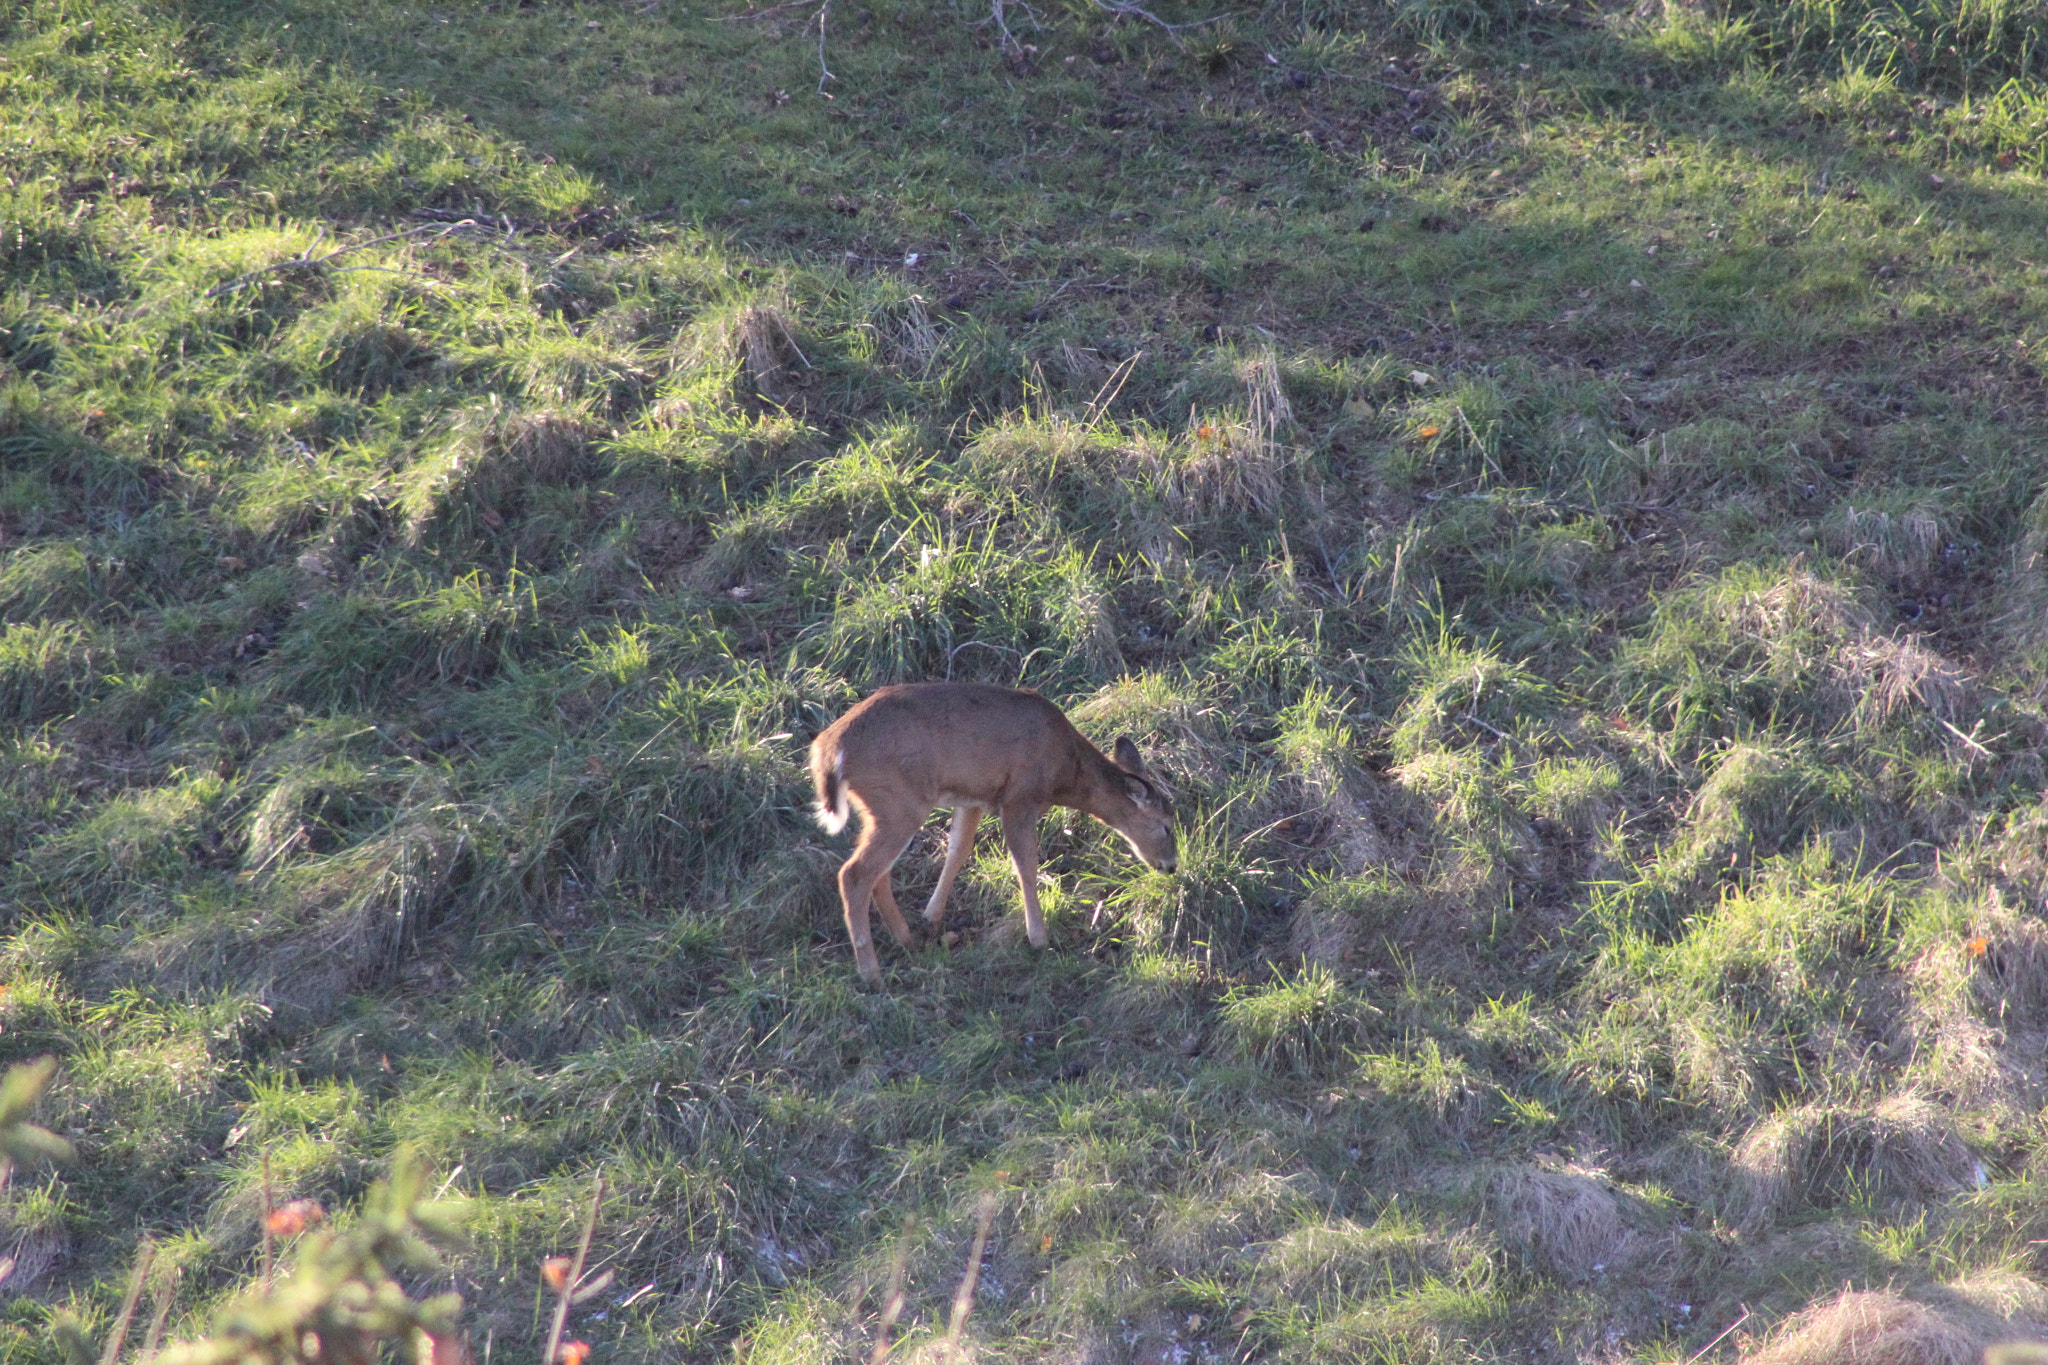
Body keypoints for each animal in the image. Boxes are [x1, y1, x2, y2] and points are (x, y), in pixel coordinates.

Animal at [806, 687, 1179, 986]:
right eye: (1166, 825)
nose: (1172, 865)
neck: (1064, 773)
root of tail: (828, 750)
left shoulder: (972, 798)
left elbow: (959, 850)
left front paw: (932, 916)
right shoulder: (1020, 798)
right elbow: (1025, 864)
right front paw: (1039, 939)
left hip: (884, 809)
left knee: (876, 872)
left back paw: (906, 939)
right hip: (899, 802)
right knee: (854, 874)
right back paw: (871, 973)